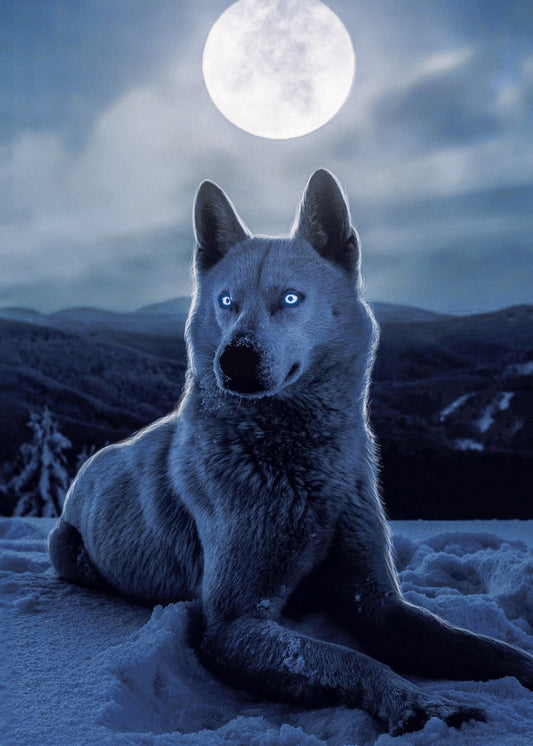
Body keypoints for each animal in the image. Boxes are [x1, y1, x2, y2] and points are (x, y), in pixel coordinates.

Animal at [49, 170, 533, 735]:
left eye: (291, 299)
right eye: (227, 302)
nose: (233, 360)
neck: (300, 468)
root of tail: (93, 461)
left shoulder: (378, 601)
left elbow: (481, 647)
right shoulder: (233, 625)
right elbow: (347, 658)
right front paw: (421, 704)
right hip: (66, 550)